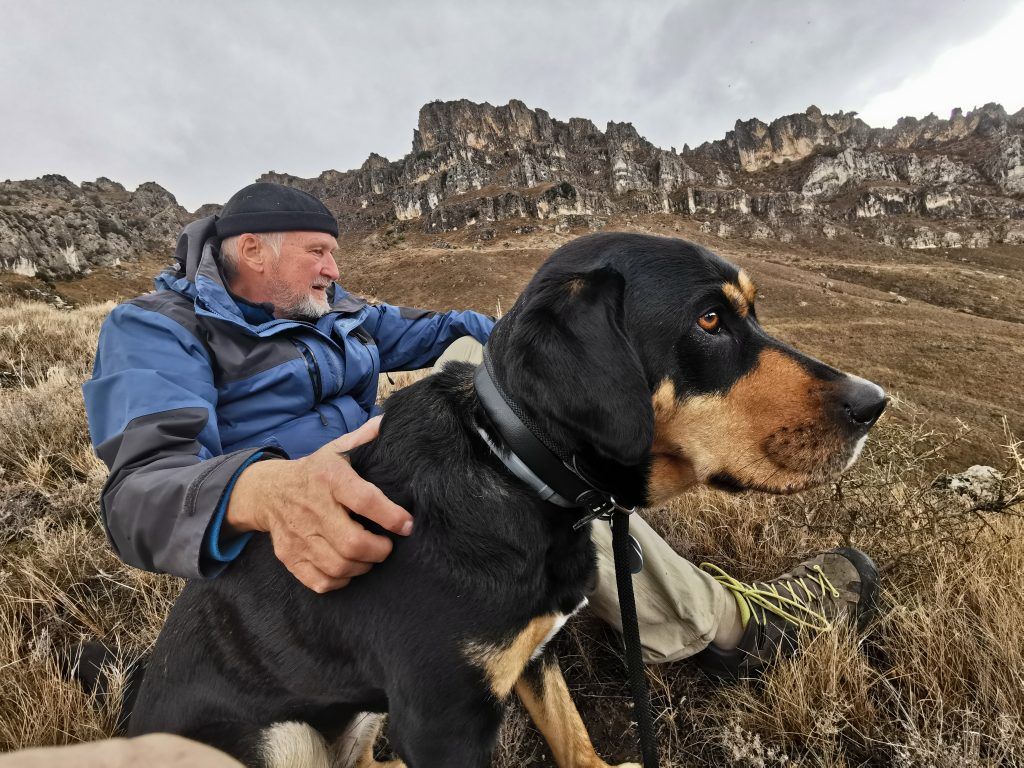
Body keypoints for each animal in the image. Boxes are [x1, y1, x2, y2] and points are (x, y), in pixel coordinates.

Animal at [124, 233, 886, 766]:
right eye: (707, 321)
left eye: (748, 313)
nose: (875, 403)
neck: (514, 462)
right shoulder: (444, 719)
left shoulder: (534, 650)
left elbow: (573, 737)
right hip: (278, 738)